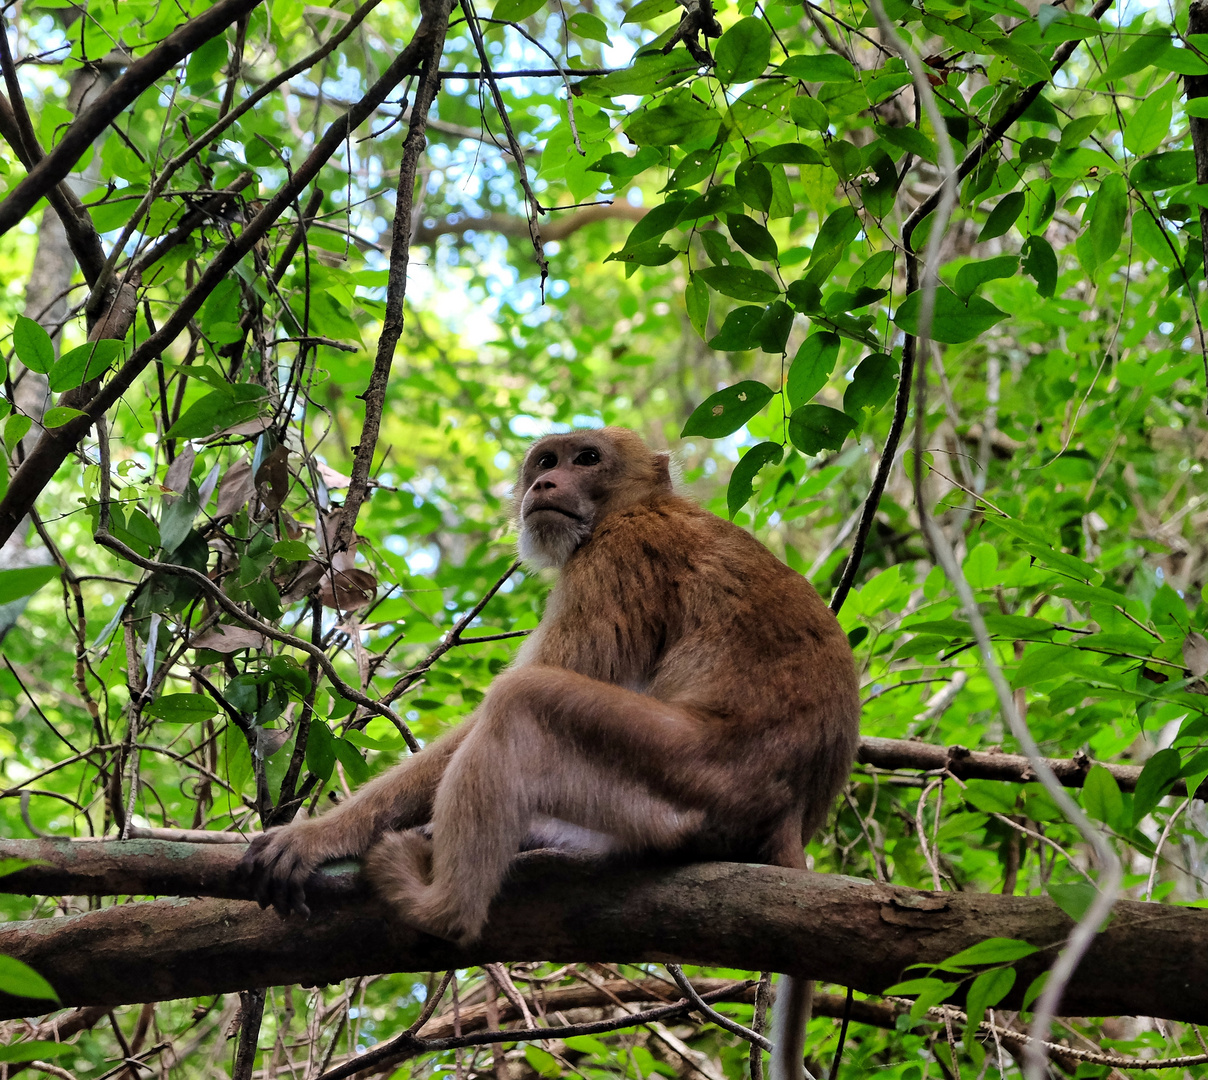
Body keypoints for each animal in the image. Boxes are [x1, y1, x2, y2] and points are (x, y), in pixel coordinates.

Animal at [237, 430, 860, 1080]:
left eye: (585, 459)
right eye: (545, 461)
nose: (543, 483)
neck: (634, 506)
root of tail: (791, 814)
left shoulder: (615, 558)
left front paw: (319, 835)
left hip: (686, 779)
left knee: (522, 701)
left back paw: (444, 909)